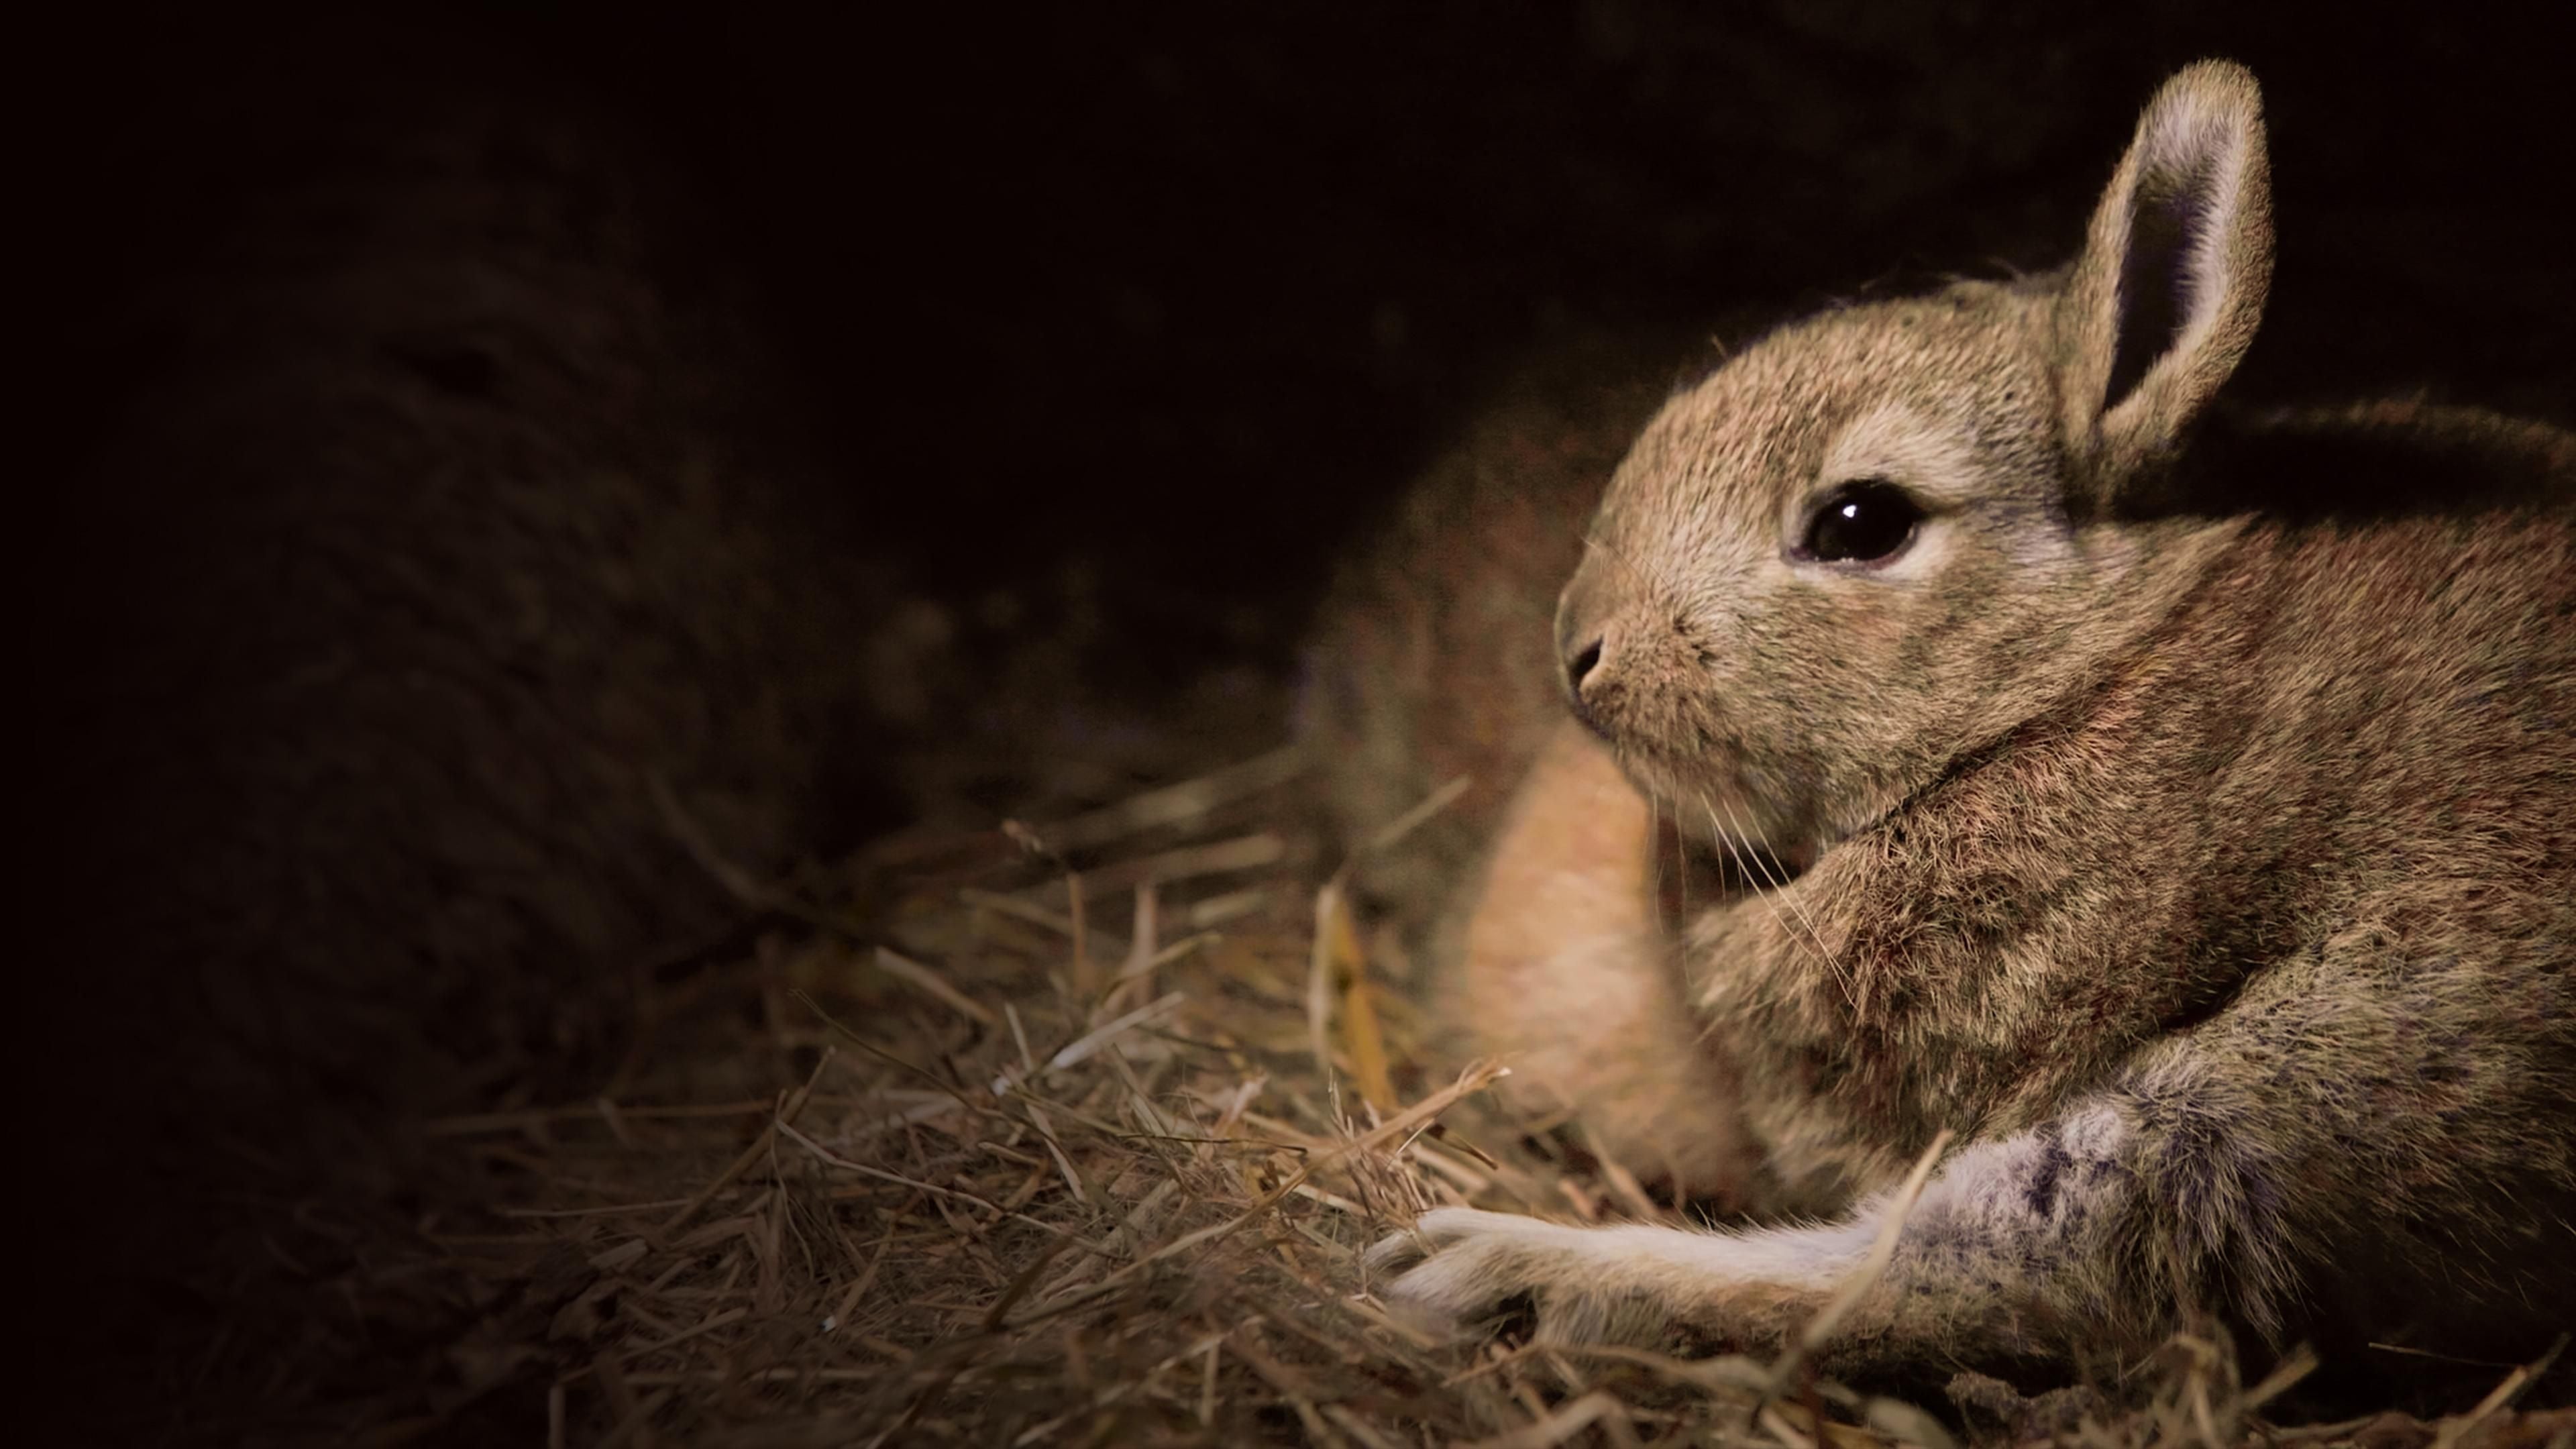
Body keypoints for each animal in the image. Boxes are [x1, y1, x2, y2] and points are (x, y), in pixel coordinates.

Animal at [1341, 59, 2576, 1381]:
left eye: (1860, 524)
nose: (1580, 653)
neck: (2064, 685)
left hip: (2328, 1060)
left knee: (2043, 1268)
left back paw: (1492, 1270)